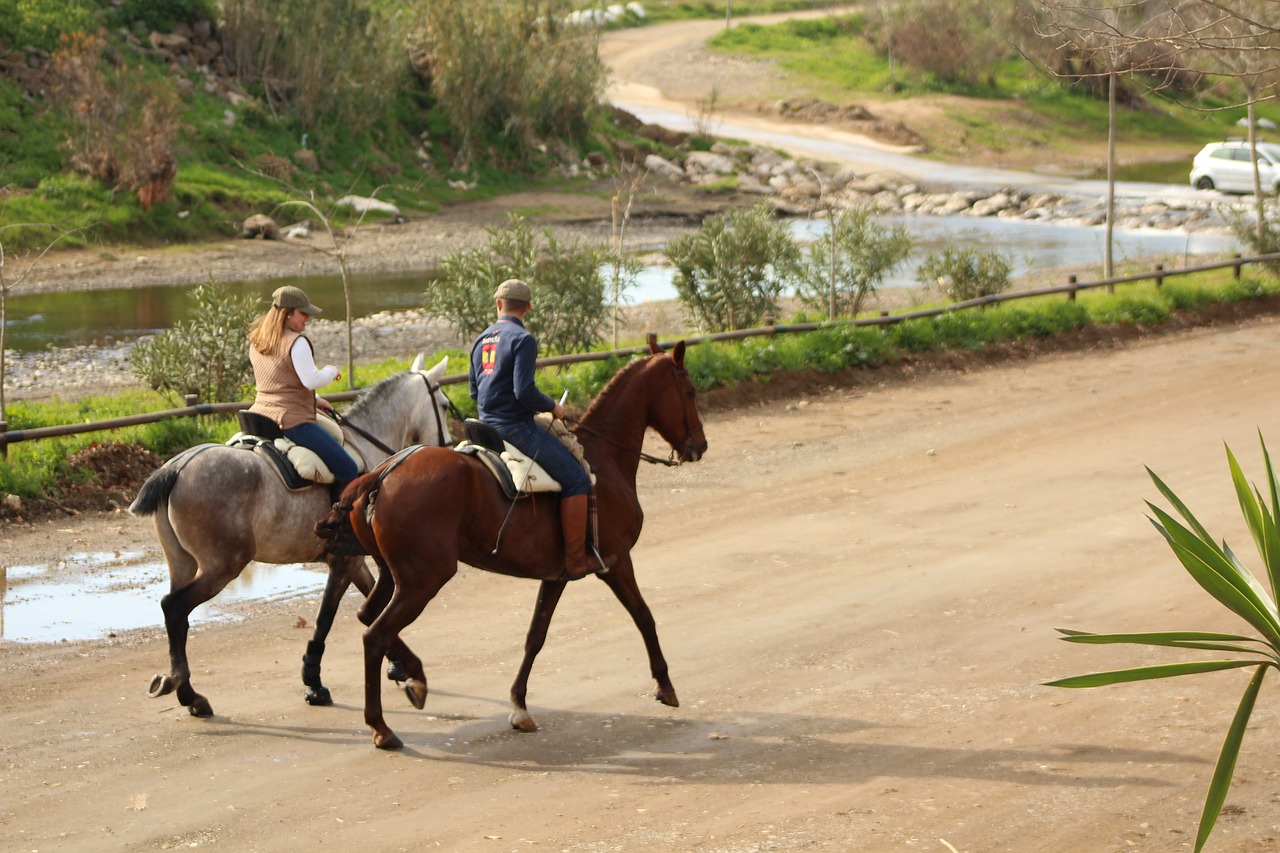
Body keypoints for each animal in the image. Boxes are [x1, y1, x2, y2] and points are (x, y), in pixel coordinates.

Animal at [129, 350, 450, 717]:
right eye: (443, 404)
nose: (446, 445)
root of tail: (178, 466)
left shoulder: (352, 564)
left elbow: (370, 604)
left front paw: (396, 664)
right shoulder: (344, 564)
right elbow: (327, 619)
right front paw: (315, 682)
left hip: (182, 564)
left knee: (178, 619)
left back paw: (189, 694)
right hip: (221, 567)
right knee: (175, 608)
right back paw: (185, 689)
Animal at [327, 338, 711, 742]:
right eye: (689, 391)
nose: (700, 445)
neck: (602, 461)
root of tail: (385, 471)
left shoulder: (557, 576)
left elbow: (535, 636)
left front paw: (519, 705)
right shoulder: (617, 562)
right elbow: (644, 616)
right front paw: (665, 684)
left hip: (393, 576)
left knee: (367, 616)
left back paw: (414, 677)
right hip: (422, 581)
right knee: (375, 636)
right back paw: (382, 724)